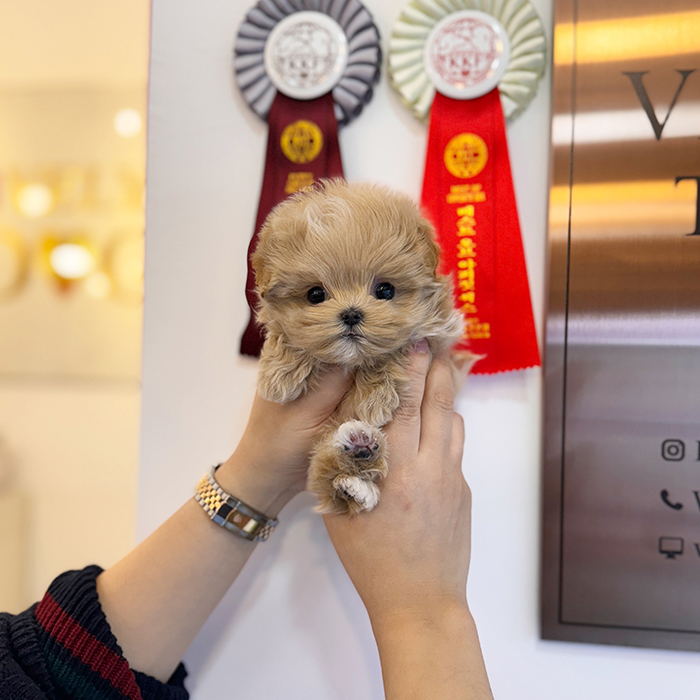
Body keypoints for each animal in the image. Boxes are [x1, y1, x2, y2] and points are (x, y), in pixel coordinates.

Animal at [252, 180, 464, 516]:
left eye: (385, 290)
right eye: (315, 294)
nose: (351, 314)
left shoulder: (435, 337)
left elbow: (393, 349)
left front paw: (374, 398)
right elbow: (286, 334)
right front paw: (278, 375)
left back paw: (359, 468)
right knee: (325, 469)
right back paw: (354, 465)